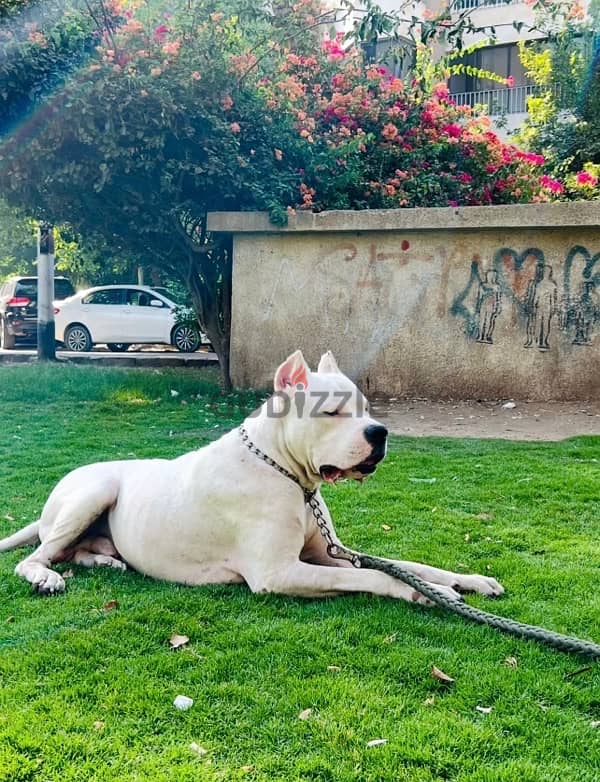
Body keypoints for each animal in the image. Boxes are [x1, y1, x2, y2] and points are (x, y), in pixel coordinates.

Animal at [0, 352, 504, 604]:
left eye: (366, 407)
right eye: (333, 412)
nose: (379, 433)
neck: (285, 472)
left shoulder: (330, 553)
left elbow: (407, 564)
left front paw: (468, 580)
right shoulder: (279, 573)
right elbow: (378, 578)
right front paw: (427, 593)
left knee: (75, 552)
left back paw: (107, 562)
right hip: (93, 493)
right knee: (39, 557)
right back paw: (45, 577)